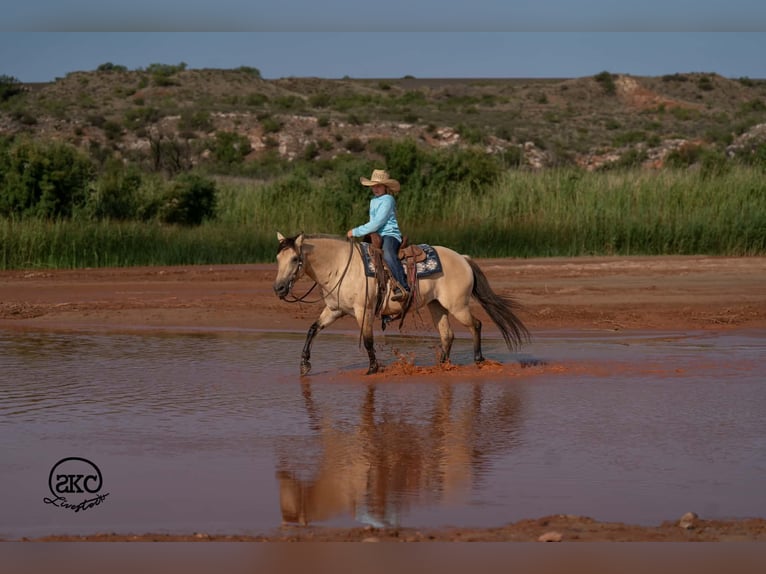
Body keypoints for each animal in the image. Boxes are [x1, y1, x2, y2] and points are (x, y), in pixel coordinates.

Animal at [273, 232, 530, 375]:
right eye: (277, 258)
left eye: (295, 259)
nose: (279, 289)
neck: (339, 265)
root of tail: (463, 258)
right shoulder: (335, 310)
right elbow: (312, 329)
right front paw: (304, 365)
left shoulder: (363, 310)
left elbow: (368, 340)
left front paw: (373, 368)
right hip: (436, 306)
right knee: (447, 334)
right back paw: (442, 365)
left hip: (457, 306)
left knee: (475, 325)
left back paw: (478, 360)